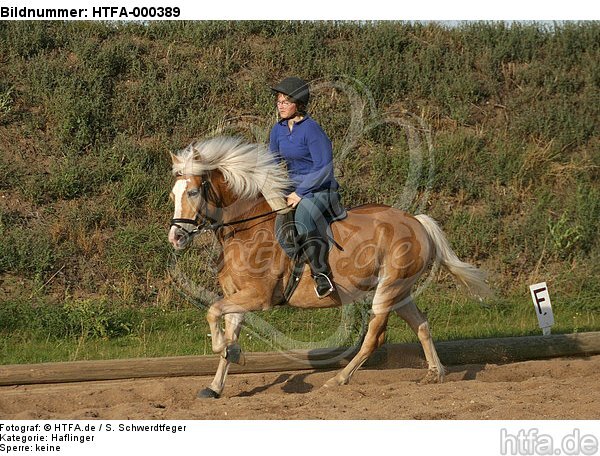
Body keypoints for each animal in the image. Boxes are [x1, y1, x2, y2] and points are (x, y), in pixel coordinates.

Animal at [166, 136, 490, 400]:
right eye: (173, 194)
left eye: (193, 192)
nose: (176, 237)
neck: (245, 228)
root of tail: (416, 221)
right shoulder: (238, 296)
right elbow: (226, 325)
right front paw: (216, 383)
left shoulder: (259, 296)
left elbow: (213, 312)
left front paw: (226, 349)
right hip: (401, 291)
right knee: (421, 324)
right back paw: (435, 374)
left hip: (388, 288)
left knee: (375, 336)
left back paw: (338, 380)